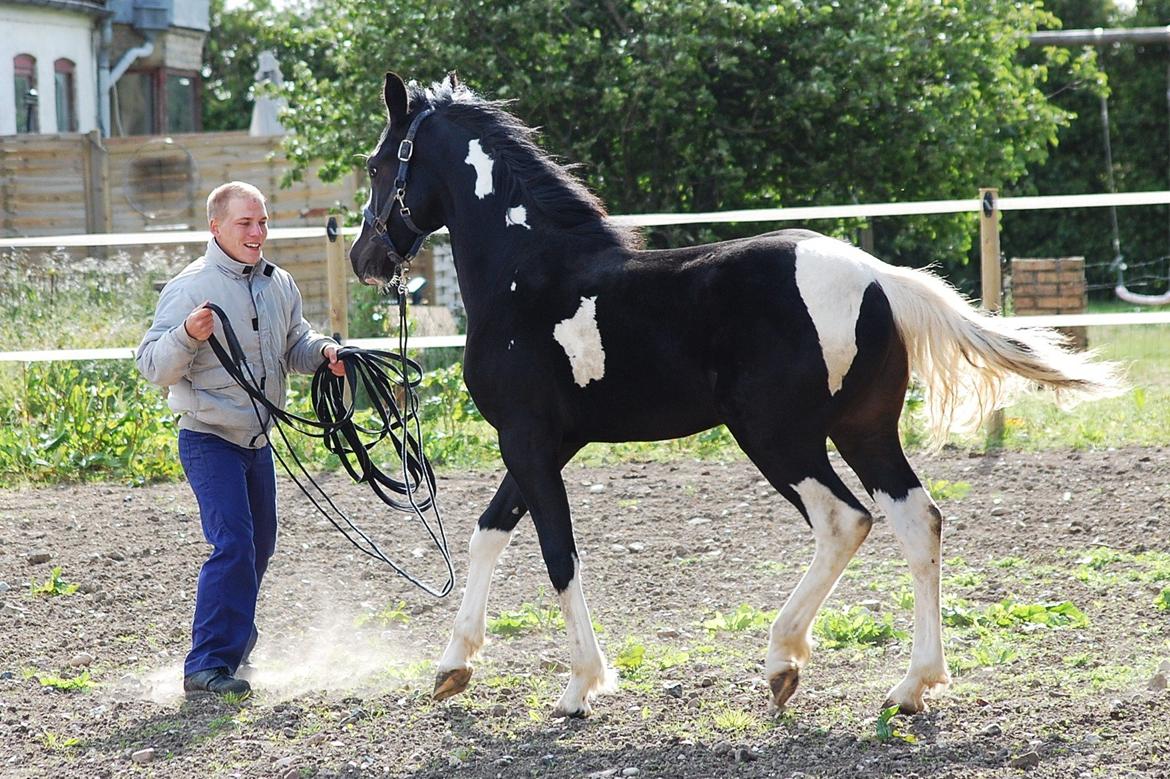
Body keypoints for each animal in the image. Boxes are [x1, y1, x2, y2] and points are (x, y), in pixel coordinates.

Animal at [348, 74, 1123, 715]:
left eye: (380, 163)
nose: (366, 259)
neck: (528, 273)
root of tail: (877, 277)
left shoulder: (530, 440)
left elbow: (557, 554)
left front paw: (580, 687)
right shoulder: (547, 443)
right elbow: (488, 532)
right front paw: (453, 667)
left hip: (777, 435)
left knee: (844, 520)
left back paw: (783, 662)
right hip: (864, 430)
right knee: (917, 519)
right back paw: (910, 687)